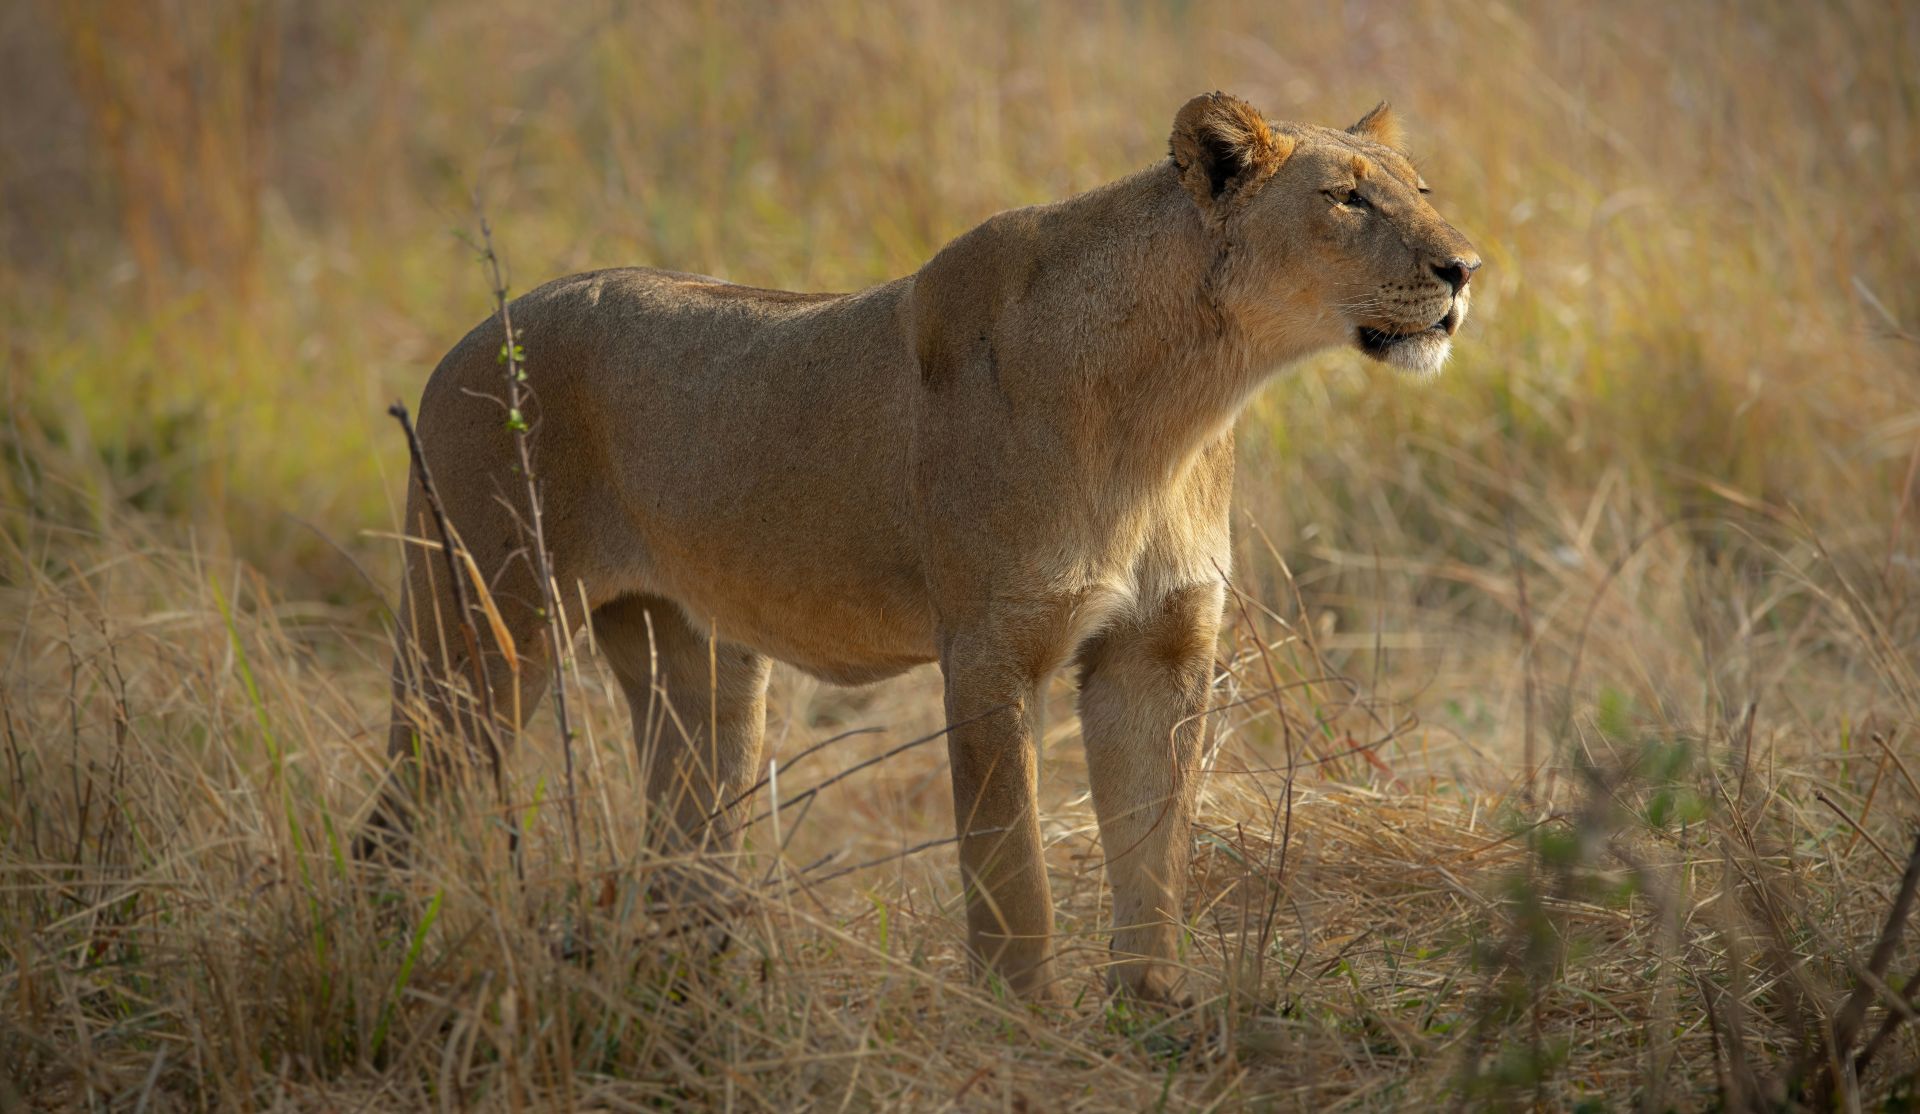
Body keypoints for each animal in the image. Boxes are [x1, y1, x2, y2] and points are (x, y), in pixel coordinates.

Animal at [364, 92, 1480, 1006]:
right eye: (1346, 200)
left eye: (1422, 190)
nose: (1466, 268)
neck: (1183, 401)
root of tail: (472, 334)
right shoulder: (990, 646)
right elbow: (1010, 864)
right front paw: (1024, 1018)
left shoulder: (1159, 646)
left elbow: (1153, 845)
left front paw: (1154, 1006)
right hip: (480, 628)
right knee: (396, 819)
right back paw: (392, 973)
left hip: (702, 669)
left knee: (681, 849)